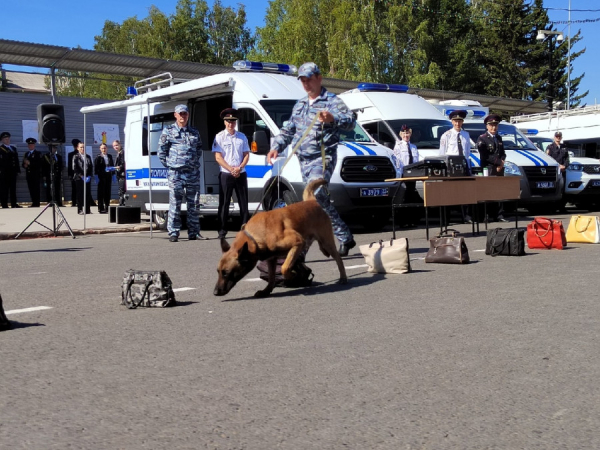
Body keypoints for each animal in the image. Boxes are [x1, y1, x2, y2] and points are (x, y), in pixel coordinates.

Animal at [214, 178, 346, 298]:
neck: (254, 236)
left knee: (338, 259)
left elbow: (284, 267)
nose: (215, 292)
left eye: (226, 273)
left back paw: (343, 277)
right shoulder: (272, 259)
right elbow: (272, 277)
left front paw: (291, 276)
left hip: (326, 241)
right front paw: (267, 291)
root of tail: (311, 201)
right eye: (218, 272)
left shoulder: (298, 242)